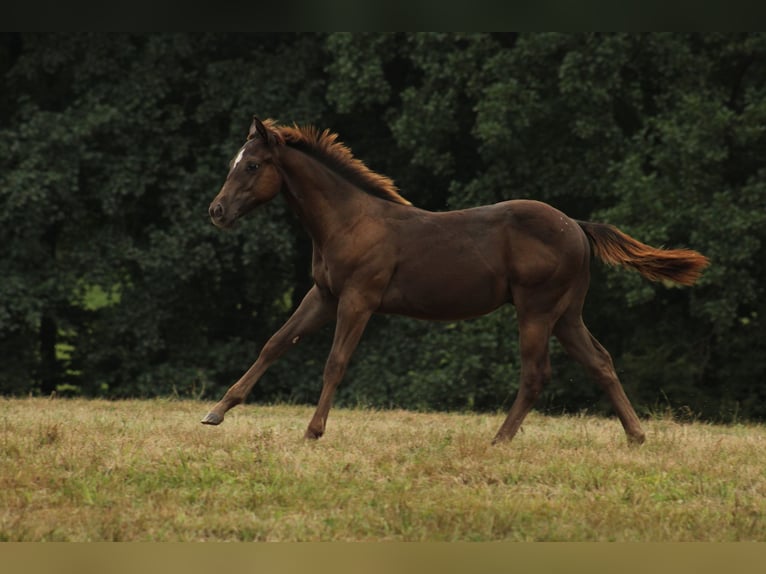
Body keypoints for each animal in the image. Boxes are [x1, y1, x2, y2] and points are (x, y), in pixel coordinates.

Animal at [201, 117, 712, 446]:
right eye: (233, 163)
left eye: (251, 166)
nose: (217, 211)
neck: (348, 220)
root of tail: (578, 226)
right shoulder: (324, 295)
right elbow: (274, 343)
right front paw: (217, 411)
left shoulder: (358, 299)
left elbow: (335, 362)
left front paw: (312, 431)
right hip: (566, 313)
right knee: (600, 362)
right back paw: (637, 435)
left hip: (536, 309)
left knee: (536, 373)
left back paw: (499, 439)